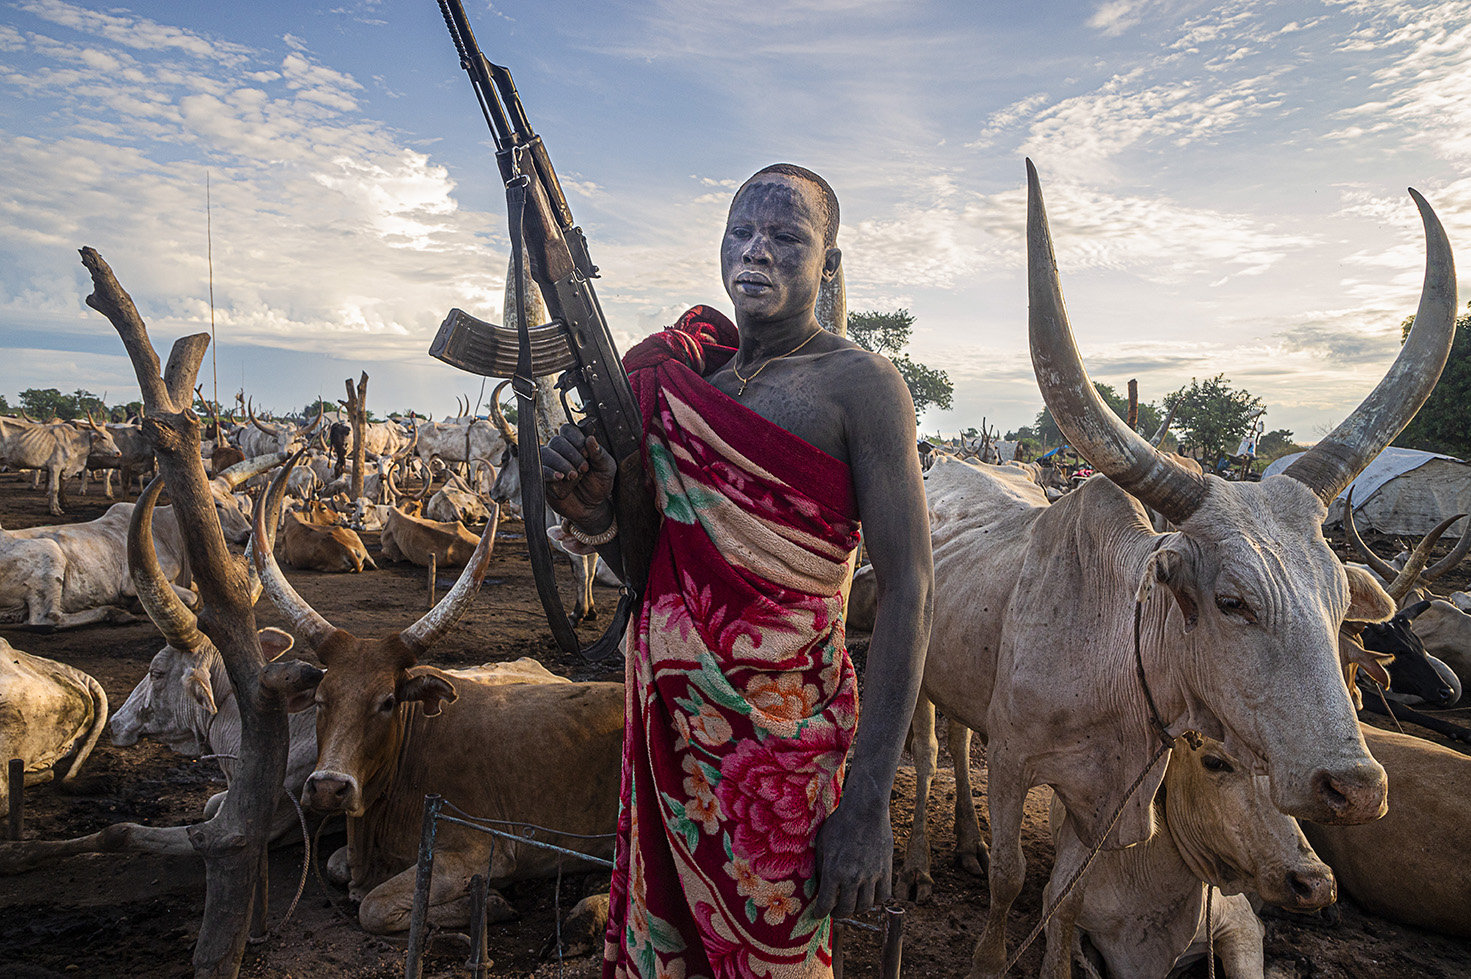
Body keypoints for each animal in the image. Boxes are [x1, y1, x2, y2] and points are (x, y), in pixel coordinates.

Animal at [253, 499, 620, 934]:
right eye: (321, 699)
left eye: (388, 702)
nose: (328, 788)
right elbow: (335, 864)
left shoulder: (478, 849)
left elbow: (373, 906)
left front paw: (492, 904)